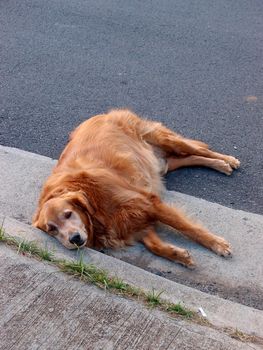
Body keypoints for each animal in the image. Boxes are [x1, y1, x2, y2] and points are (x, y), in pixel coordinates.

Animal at [33, 108, 241, 266]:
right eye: (52, 229)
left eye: (68, 214)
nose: (74, 239)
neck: (94, 204)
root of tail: (100, 114)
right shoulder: (131, 220)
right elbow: (153, 245)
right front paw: (178, 255)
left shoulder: (147, 203)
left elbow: (187, 227)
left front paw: (217, 245)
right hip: (160, 164)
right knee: (189, 158)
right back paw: (221, 165)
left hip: (163, 139)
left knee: (199, 149)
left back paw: (227, 161)